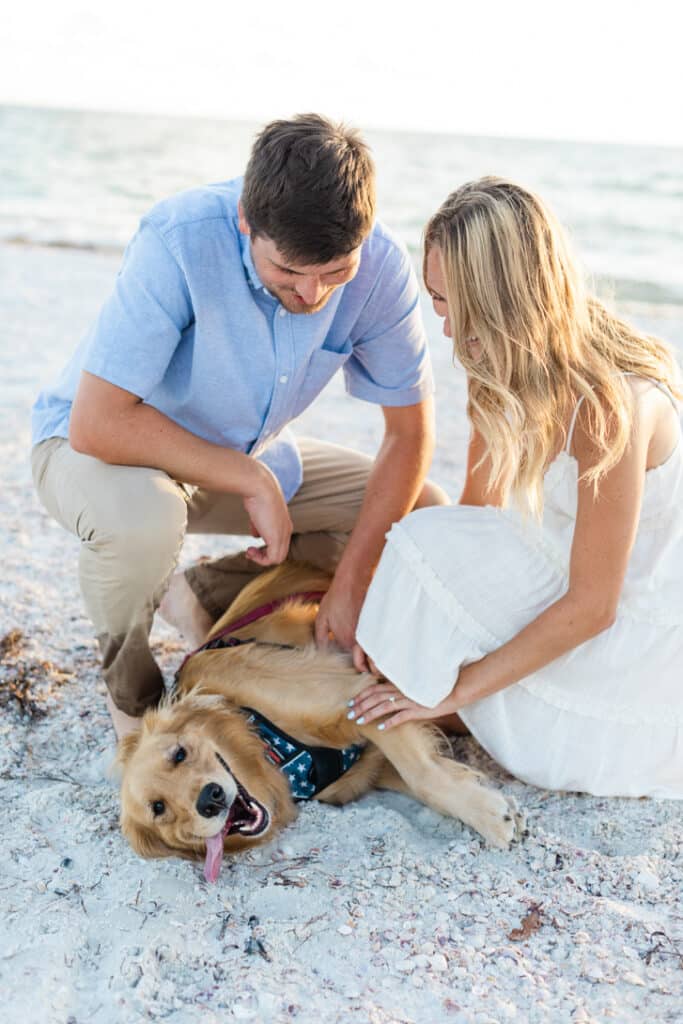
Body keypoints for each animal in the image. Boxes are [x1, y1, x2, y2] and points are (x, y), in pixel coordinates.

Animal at [117, 561, 528, 880]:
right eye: (158, 809)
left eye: (179, 754)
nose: (210, 800)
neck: (267, 745)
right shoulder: (367, 758)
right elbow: (423, 773)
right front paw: (483, 799)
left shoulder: (353, 696)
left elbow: (422, 775)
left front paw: (491, 818)